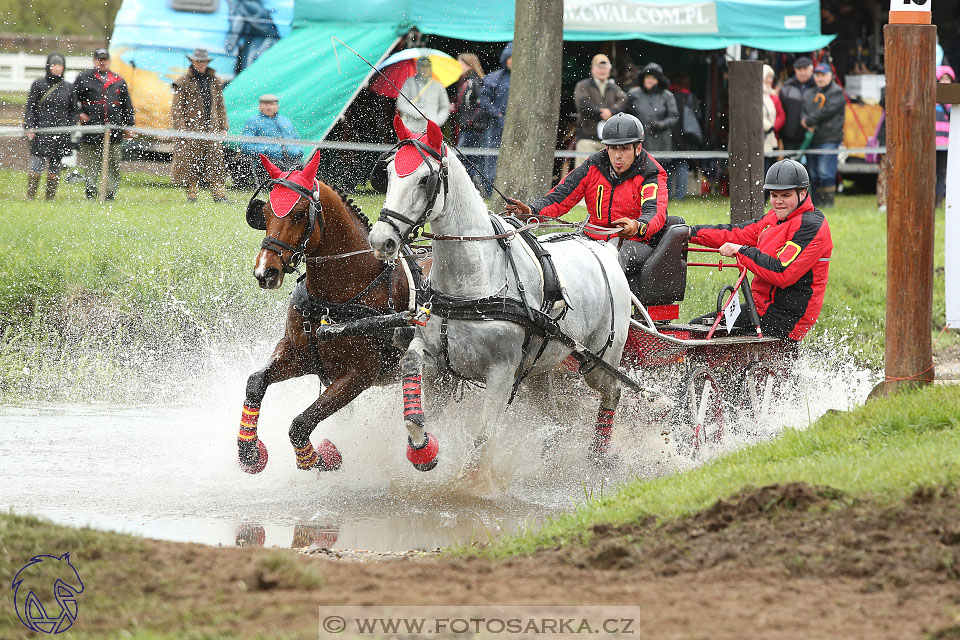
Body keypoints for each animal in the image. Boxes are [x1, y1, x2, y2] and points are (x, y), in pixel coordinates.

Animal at [236, 149, 428, 470]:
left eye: (300, 214)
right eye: (265, 214)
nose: (265, 272)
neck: (331, 300)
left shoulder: (359, 375)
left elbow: (301, 423)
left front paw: (320, 458)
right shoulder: (298, 355)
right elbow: (256, 382)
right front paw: (249, 450)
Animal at [372, 119, 632, 470]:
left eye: (425, 179)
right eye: (387, 174)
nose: (381, 239)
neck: (473, 285)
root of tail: (603, 245)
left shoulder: (502, 372)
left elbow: (481, 441)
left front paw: (469, 480)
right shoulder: (437, 362)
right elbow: (412, 382)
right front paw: (422, 447)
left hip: (599, 360)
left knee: (612, 392)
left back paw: (597, 458)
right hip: (539, 367)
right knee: (553, 414)